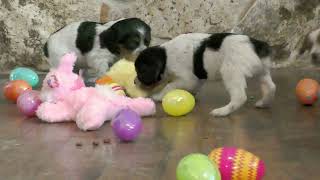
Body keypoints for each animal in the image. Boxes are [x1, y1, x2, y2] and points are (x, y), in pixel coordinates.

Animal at [134, 32, 276, 116]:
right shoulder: (197, 79)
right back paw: (263, 103)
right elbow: (194, 86)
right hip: (262, 72)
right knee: (271, 87)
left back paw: (222, 111)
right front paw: (192, 94)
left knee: (239, 97)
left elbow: (169, 86)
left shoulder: (187, 78)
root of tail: (257, 45)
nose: (134, 82)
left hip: (231, 72)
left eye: (140, 71)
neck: (165, 56)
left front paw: (158, 96)